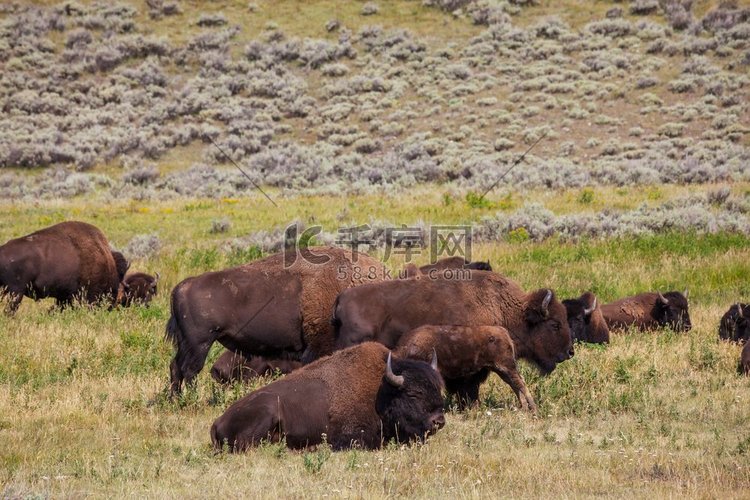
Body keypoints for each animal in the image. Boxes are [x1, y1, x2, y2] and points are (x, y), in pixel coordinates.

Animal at [210, 342, 446, 452]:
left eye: (438, 390)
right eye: (413, 393)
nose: (439, 421)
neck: (382, 392)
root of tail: (217, 421)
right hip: (267, 410)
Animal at [396, 326, 536, 412]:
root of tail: (504, 332)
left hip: (505, 367)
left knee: (520, 383)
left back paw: (533, 409)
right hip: (501, 370)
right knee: (515, 384)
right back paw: (524, 408)